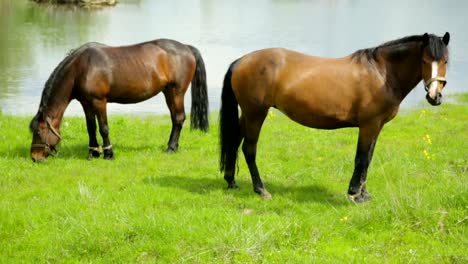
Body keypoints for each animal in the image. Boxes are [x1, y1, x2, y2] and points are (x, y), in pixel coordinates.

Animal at [30, 38, 209, 162]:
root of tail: (186, 47)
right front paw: (92, 152)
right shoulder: (86, 103)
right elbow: (91, 128)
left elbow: (103, 128)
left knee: (178, 118)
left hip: (176, 92)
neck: (81, 68)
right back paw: (174, 146)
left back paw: (171, 148)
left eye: (39, 131)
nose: (35, 157)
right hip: (168, 93)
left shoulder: (99, 102)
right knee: (175, 119)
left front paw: (108, 154)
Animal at [219, 33, 450, 202]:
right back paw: (261, 189)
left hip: (248, 114)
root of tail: (241, 61)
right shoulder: (369, 125)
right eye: (424, 60)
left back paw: (231, 181)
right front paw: (355, 194)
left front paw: (364, 193)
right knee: (249, 149)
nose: (434, 96)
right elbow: (362, 158)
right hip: (256, 114)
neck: (381, 73)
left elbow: (369, 158)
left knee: (234, 141)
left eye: (446, 60)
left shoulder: (377, 126)